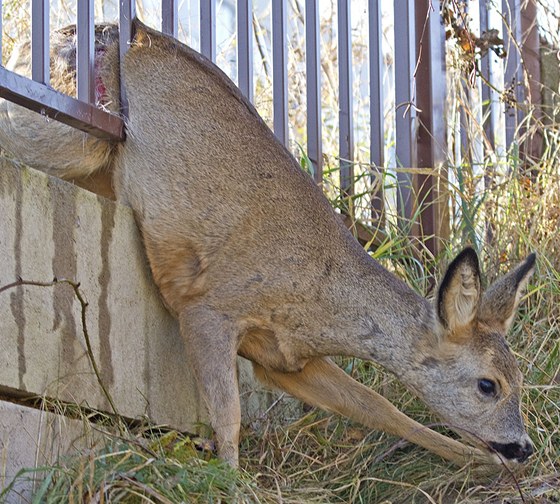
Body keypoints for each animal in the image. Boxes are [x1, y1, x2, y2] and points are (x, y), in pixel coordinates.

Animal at [0, 20, 536, 468]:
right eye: (488, 385)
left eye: (521, 377)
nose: (525, 447)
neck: (317, 297)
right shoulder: (209, 306)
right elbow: (229, 415)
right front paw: (228, 478)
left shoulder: (286, 358)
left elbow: (380, 407)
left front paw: (478, 461)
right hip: (78, 136)